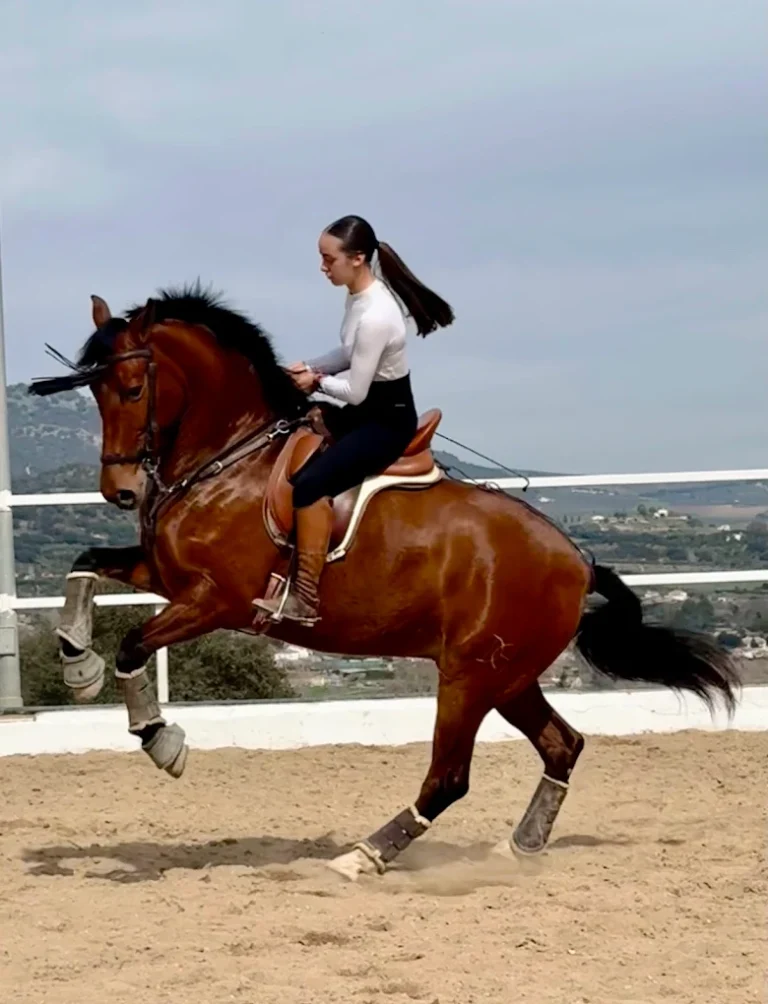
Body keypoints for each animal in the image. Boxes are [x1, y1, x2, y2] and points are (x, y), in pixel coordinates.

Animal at [28, 284, 740, 881]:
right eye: (95, 393)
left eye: (131, 387)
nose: (122, 491)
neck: (229, 457)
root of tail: (576, 559)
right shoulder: (165, 574)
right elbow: (84, 565)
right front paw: (77, 664)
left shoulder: (215, 599)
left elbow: (133, 646)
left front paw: (162, 740)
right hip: (508, 676)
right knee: (562, 746)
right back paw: (522, 846)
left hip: (470, 677)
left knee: (450, 777)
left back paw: (364, 855)